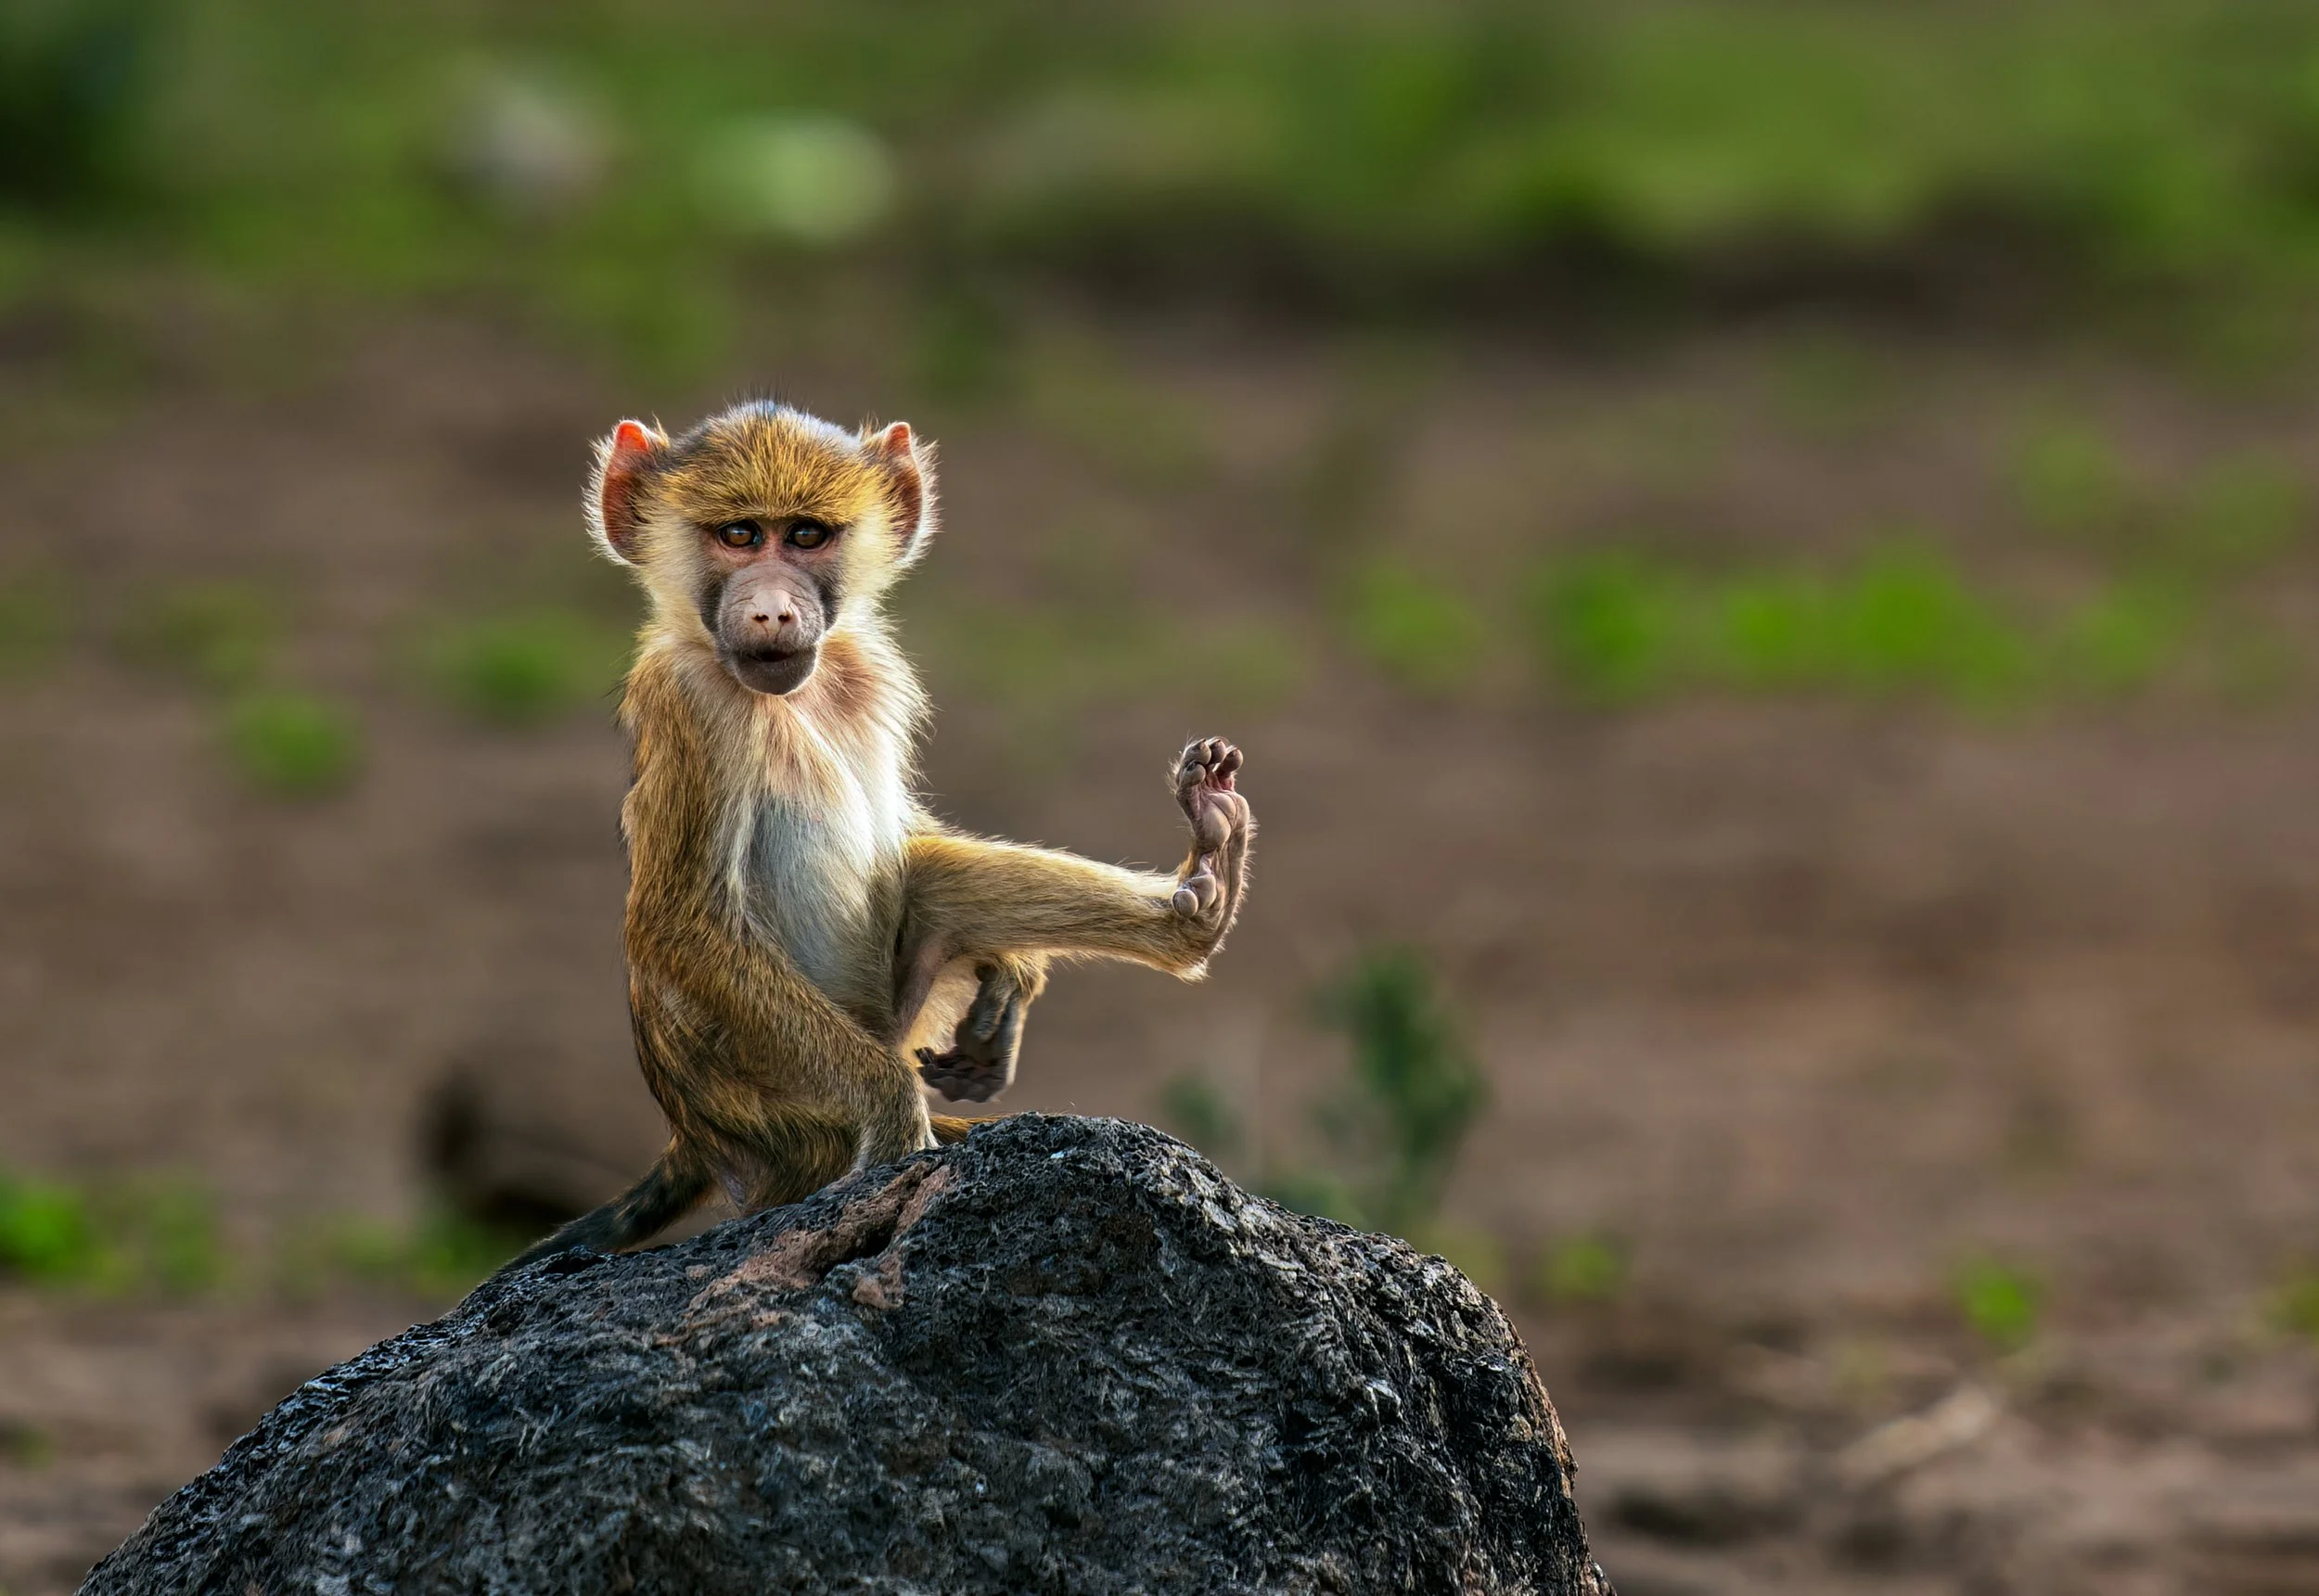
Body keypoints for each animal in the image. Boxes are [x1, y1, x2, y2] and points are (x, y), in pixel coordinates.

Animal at [495, 401, 1254, 1275]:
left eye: (808, 535)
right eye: (740, 535)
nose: (773, 610)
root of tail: (693, 1137)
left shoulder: (876, 670)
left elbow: (908, 845)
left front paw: (1015, 974)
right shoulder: (688, 702)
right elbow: (680, 924)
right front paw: (896, 1125)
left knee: (932, 883)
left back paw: (1201, 894)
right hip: (781, 1125)